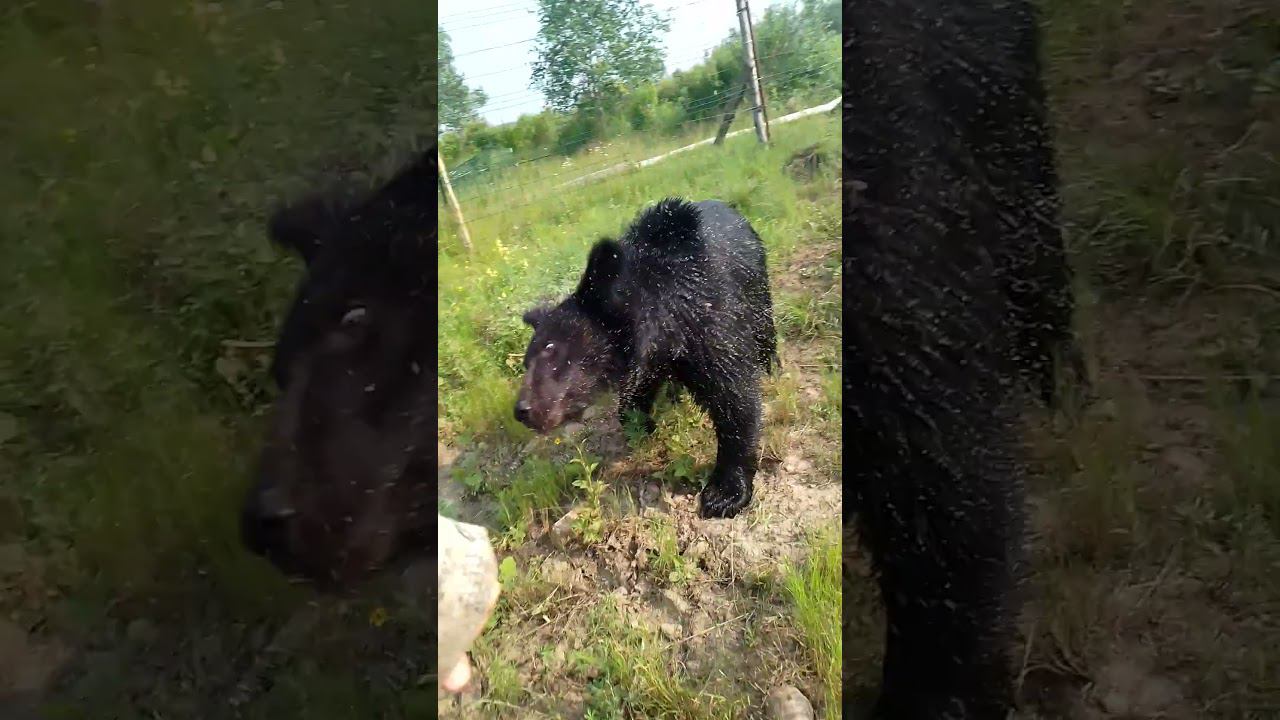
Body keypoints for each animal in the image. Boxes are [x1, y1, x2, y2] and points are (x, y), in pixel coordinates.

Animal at [515, 198, 778, 519]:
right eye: (526, 361)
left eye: (551, 350)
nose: (522, 410)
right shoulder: (651, 359)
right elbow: (637, 391)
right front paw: (640, 425)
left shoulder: (710, 319)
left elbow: (734, 395)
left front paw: (724, 493)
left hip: (757, 286)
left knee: (764, 331)